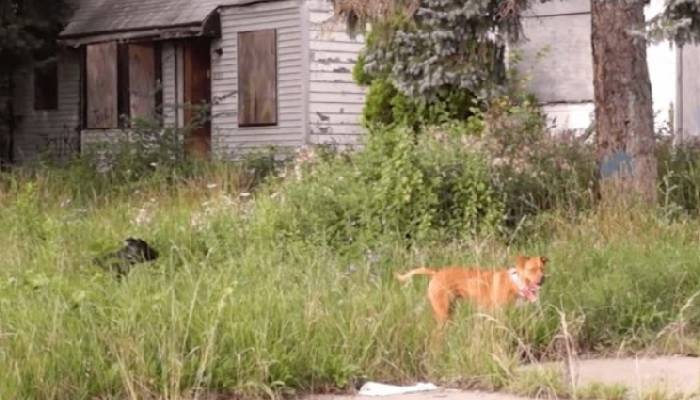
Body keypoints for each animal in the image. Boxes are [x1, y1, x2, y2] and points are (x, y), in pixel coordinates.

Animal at [396, 256, 548, 324]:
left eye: (542, 269)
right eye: (532, 270)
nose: (542, 279)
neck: (516, 283)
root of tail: (436, 272)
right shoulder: (497, 314)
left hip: (450, 310)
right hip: (443, 313)